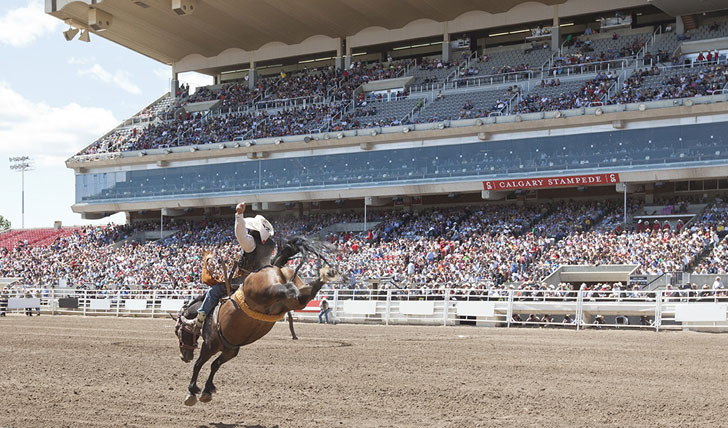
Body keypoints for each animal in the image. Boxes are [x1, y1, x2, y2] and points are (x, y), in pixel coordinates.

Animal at [175, 234, 336, 404]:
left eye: (177, 331)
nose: (183, 357)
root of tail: (273, 267)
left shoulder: (209, 345)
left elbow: (199, 364)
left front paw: (191, 391)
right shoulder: (231, 350)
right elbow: (215, 365)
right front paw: (207, 390)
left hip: (267, 290)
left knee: (287, 290)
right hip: (294, 292)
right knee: (305, 294)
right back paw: (325, 275)